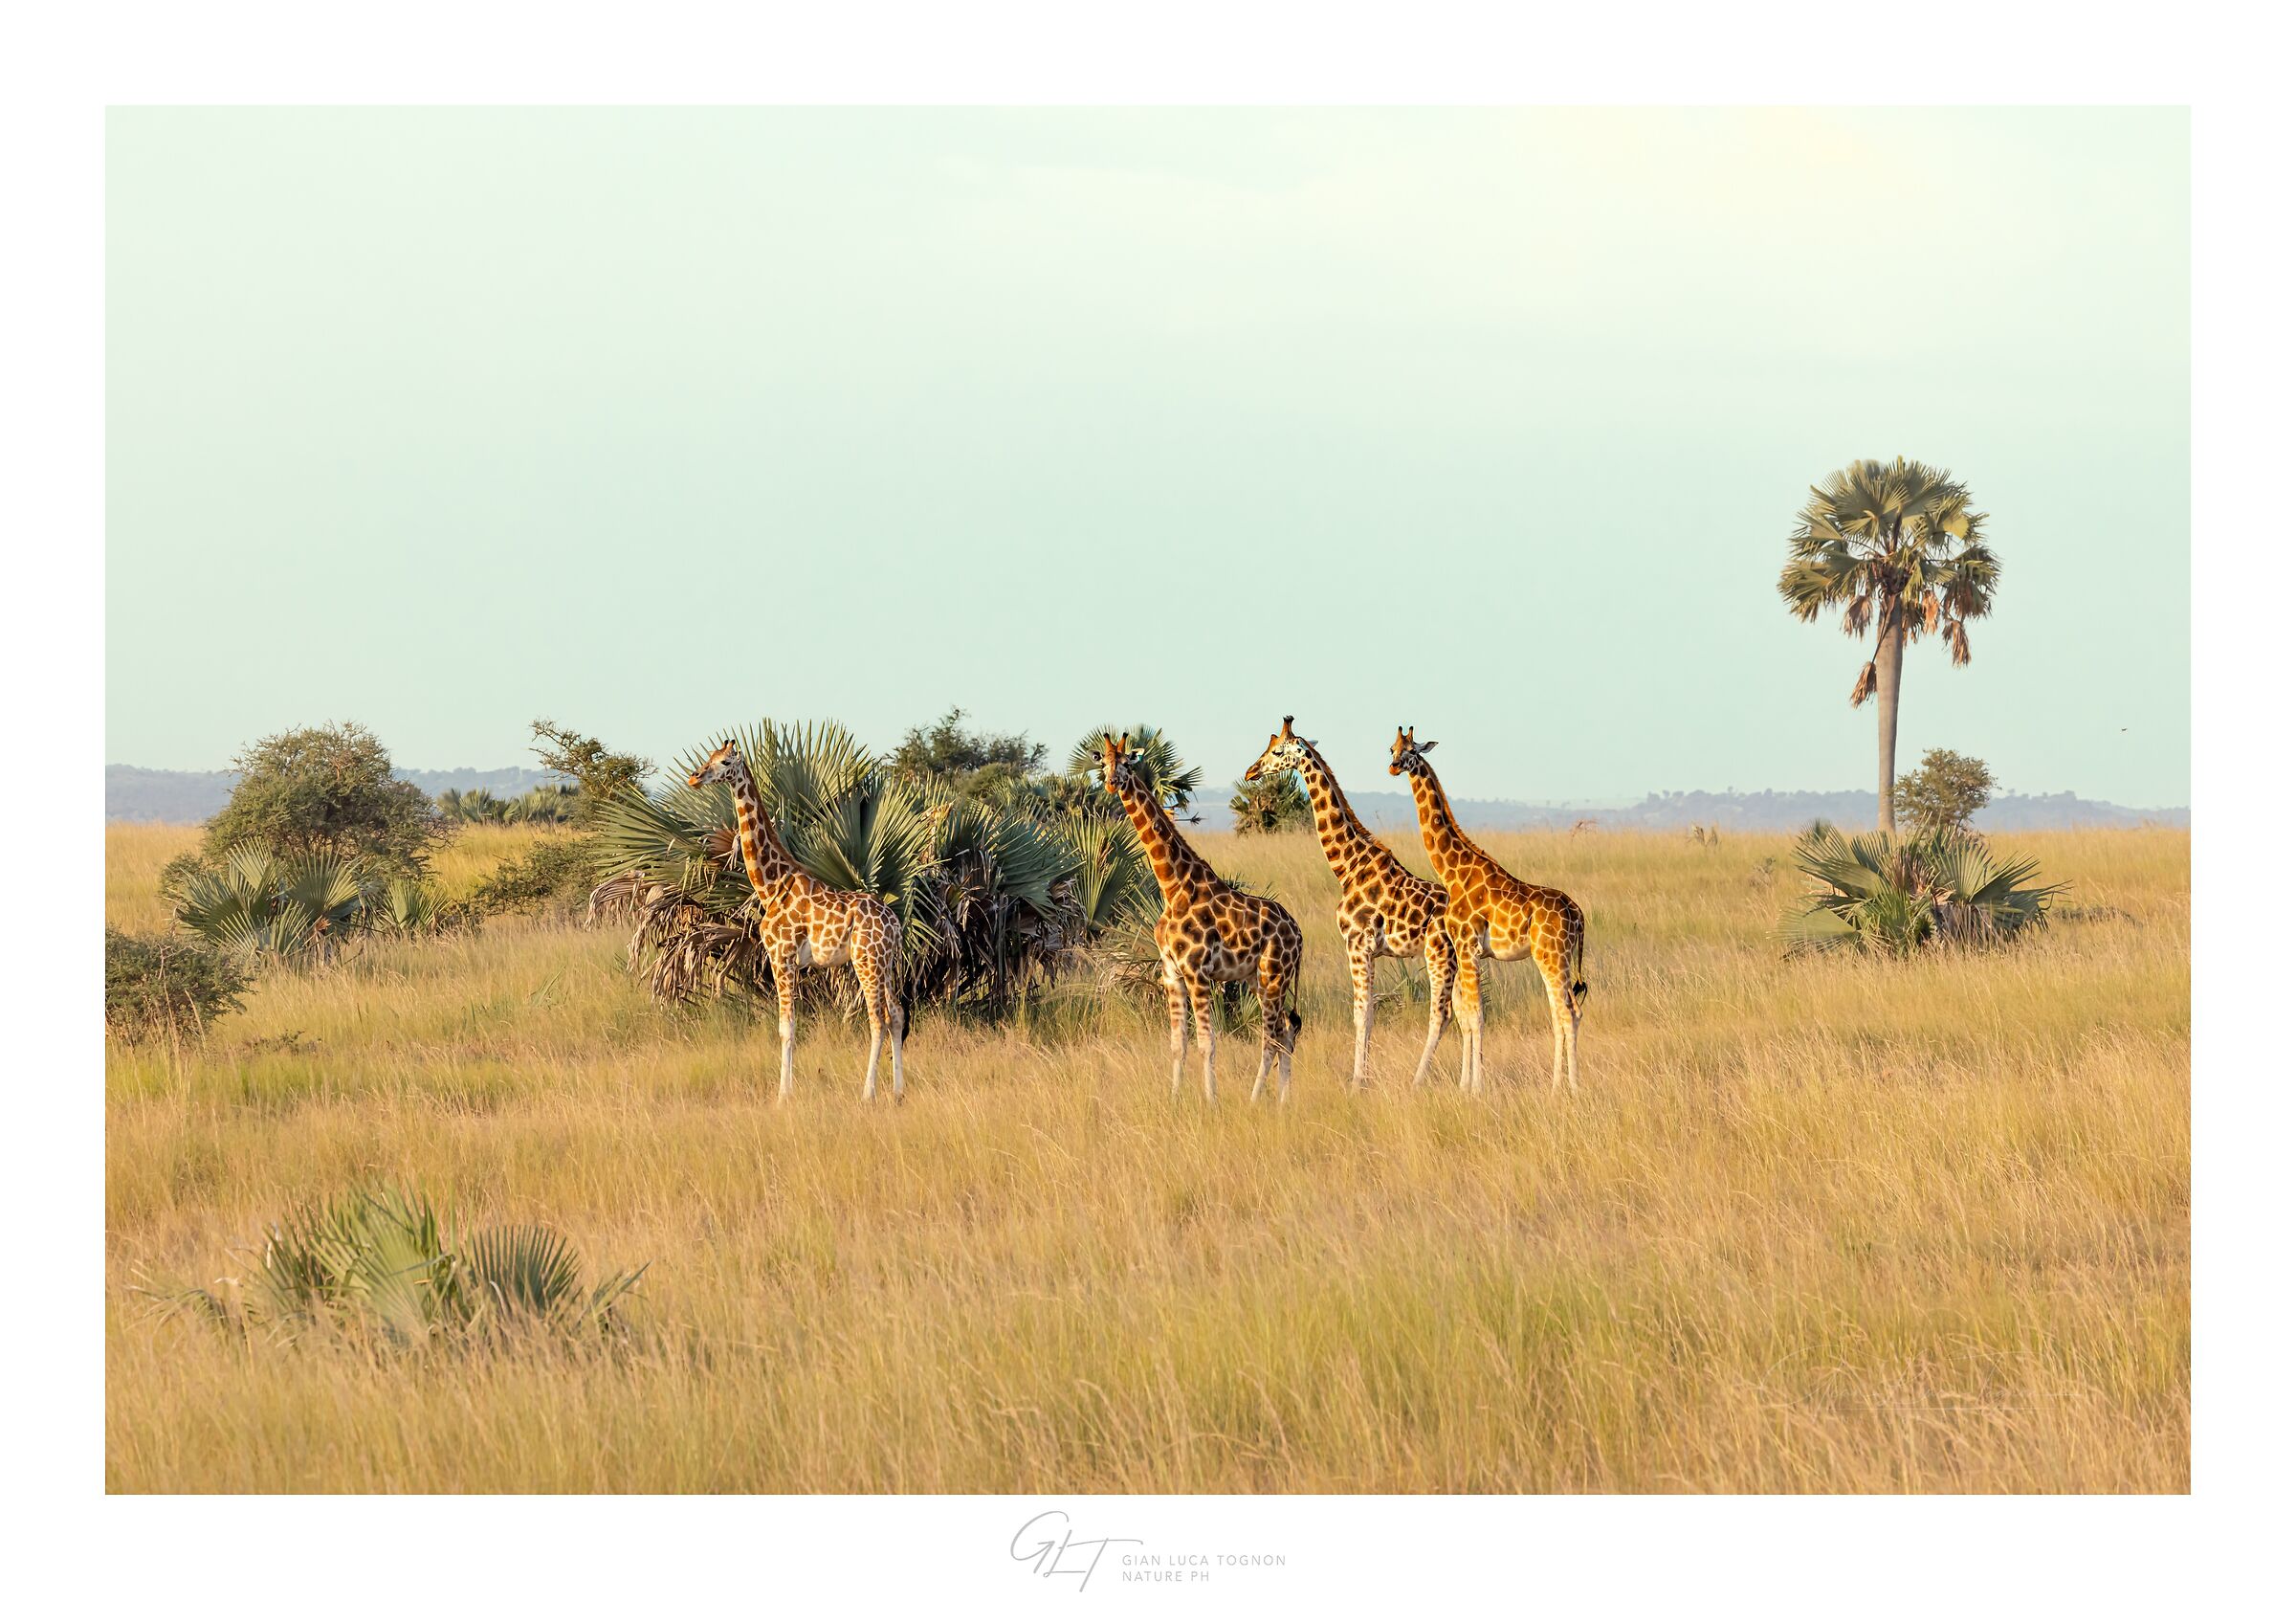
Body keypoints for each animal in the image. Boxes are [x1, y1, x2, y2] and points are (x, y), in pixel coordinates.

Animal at [687, 739, 907, 1102]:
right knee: (898, 1016)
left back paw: (868, 1094)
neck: (770, 886)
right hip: (886, 963)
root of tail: (894, 924)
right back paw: (898, 1092)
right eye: (708, 758)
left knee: (878, 1019)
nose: (694, 777)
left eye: (725, 762)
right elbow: (789, 1026)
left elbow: (786, 1027)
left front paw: (782, 1095)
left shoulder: (782, 956)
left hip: (866, 960)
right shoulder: (788, 961)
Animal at [1099, 731, 1304, 1103]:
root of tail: (1299, 934)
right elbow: (1177, 1044)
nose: (1111, 782)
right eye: (1103, 763)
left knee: (1271, 1037)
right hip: (1258, 978)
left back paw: (1255, 1101)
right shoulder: (1171, 973)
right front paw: (1174, 1099)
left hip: (1274, 975)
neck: (1173, 887)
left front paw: (1212, 1102)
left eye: (1126, 763)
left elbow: (1207, 1043)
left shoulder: (1198, 972)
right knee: (1285, 1032)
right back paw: (1283, 1102)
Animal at [1242, 716, 1457, 1088]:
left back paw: (1417, 1081)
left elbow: (1362, 1015)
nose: (1251, 771)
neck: (1348, 867)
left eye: (1278, 751)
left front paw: (1358, 1082)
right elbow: (1366, 1014)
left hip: (1438, 955)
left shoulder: (1358, 945)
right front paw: (1362, 1078)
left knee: (1441, 1015)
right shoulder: (1367, 950)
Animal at [1388, 727, 1588, 1092]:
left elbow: (1476, 1016)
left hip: (1552, 956)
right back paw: (1559, 1086)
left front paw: (1475, 1088)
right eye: (1391, 748)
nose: (1394, 767)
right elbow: (1467, 1016)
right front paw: (1464, 1085)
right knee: (1561, 1013)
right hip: (1557, 958)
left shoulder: (1467, 947)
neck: (1453, 872)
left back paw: (1569, 1088)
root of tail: (1578, 915)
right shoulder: (1471, 952)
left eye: (1411, 750)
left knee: (1569, 1013)